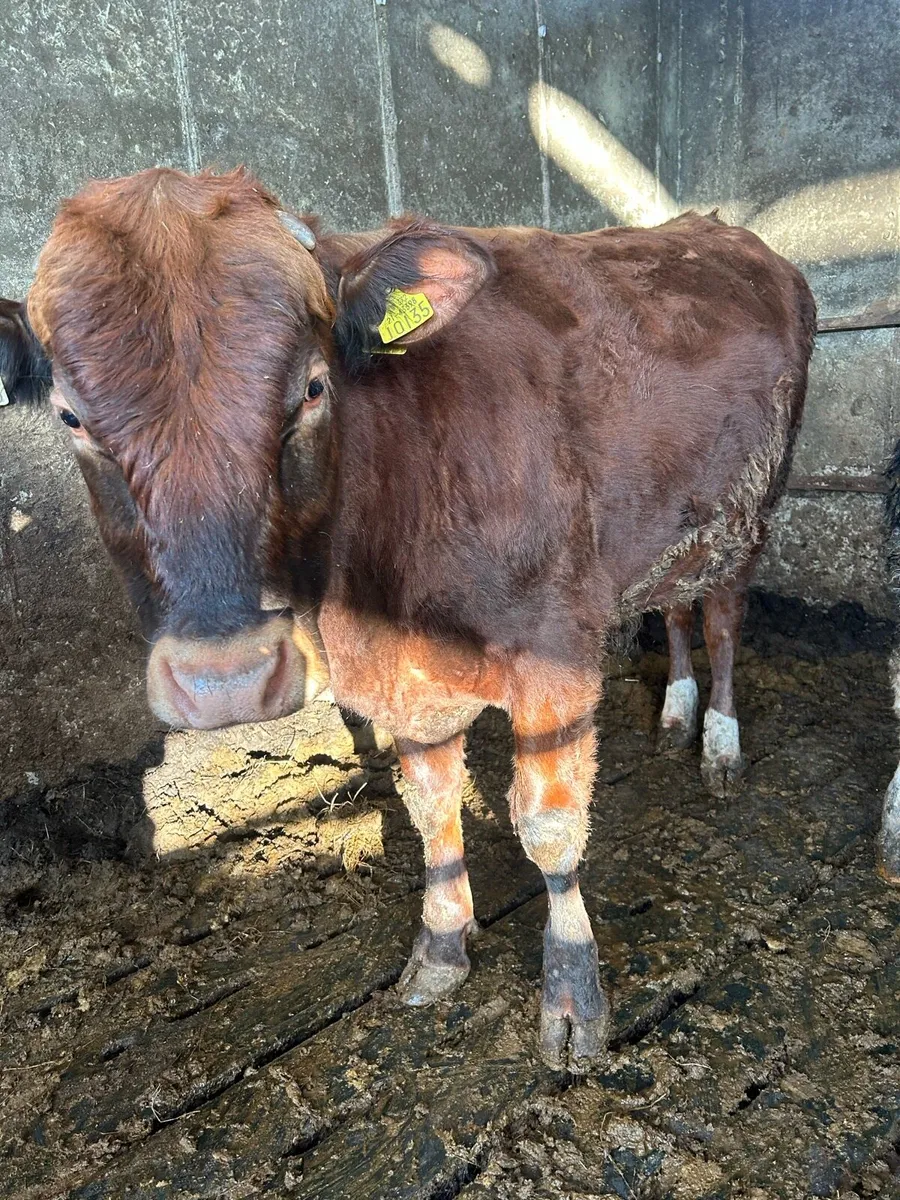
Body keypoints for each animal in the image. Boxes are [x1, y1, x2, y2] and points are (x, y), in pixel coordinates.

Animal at [0, 167, 816, 1071]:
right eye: (72, 418)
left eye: (313, 388)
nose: (227, 682)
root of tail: (720, 231)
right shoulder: (403, 683)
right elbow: (432, 810)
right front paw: (441, 946)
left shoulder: (556, 653)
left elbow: (550, 826)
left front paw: (573, 996)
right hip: (674, 525)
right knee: (673, 605)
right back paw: (674, 714)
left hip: (751, 513)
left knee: (723, 621)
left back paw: (719, 745)